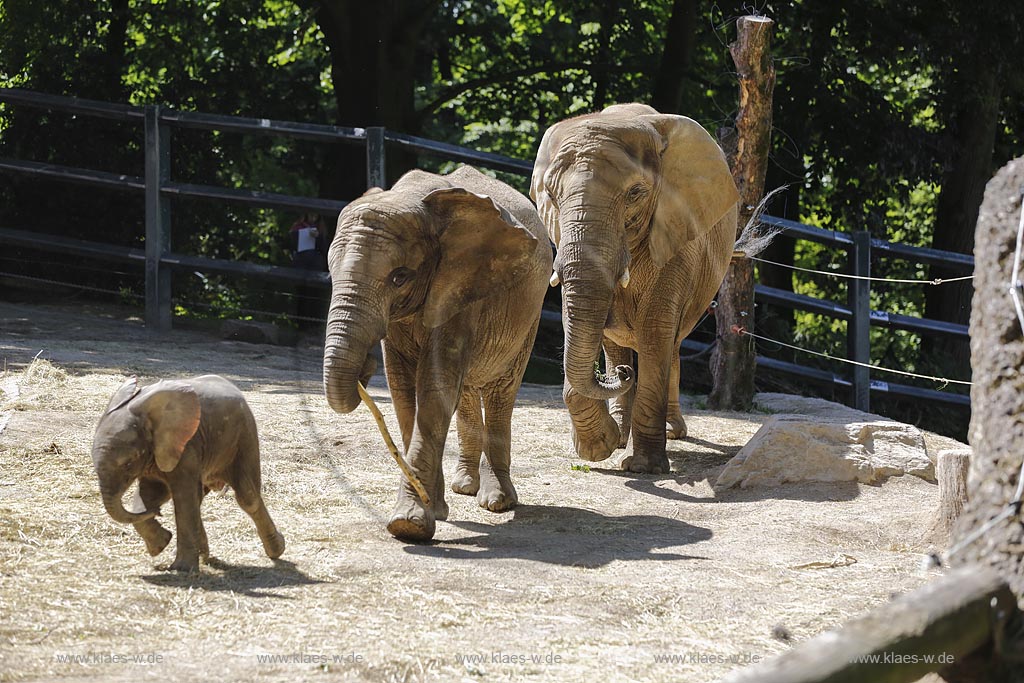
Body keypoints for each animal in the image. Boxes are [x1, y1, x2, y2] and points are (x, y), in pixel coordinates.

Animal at [92, 374, 284, 573]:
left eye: (129, 463)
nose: (158, 512)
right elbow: (151, 494)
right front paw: (162, 544)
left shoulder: (186, 448)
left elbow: (182, 497)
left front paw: (182, 568)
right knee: (200, 499)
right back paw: (204, 555)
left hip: (243, 436)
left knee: (247, 497)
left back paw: (276, 551)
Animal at [325, 162, 552, 540]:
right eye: (330, 273)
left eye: (399, 277)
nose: (364, 367)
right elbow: (403, 390)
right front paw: (434, 510)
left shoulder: (462, 284)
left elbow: (435, 385)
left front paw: (409, 525)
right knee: (468, 390)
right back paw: (465, 487)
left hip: (529, 314)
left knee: (501, 390)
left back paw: (497, 501)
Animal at [528, 102, 745, 475]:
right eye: (552, 196)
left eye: (635, 193)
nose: (622, 375)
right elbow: (581, 320)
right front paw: (601, 446)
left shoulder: (677, 234)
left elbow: (656, 330)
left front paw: (642, 467)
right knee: (616, 342)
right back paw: (621, 429)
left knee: (671, 343)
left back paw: (669, 431)